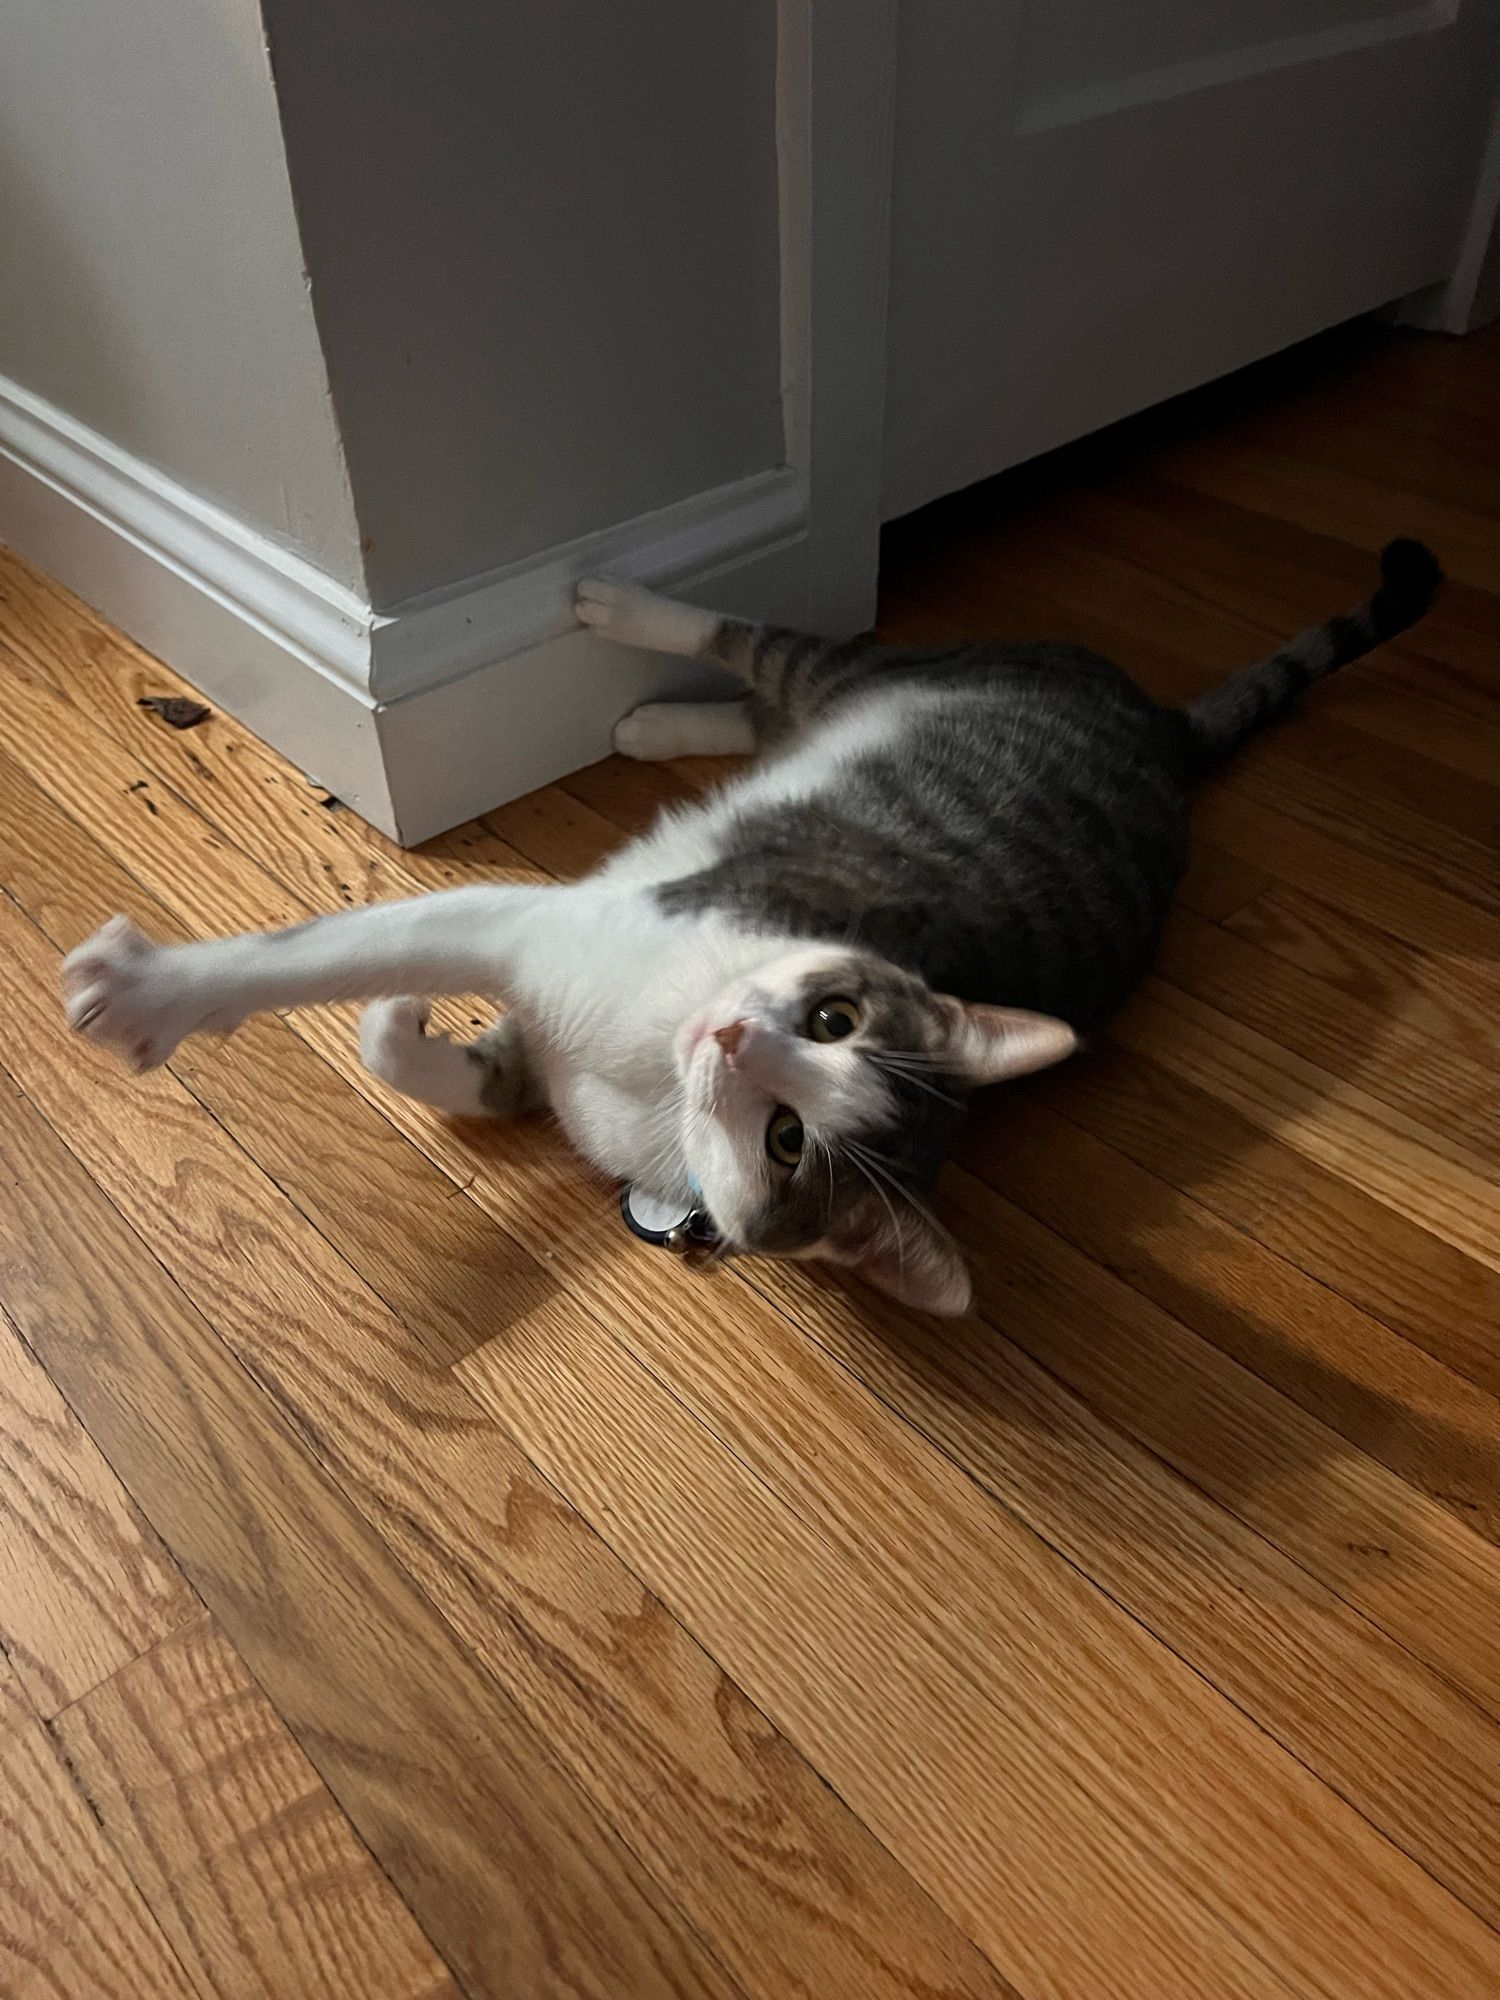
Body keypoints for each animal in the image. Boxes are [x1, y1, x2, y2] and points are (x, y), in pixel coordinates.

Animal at [61, 544, 1448, 1312]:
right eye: (833, 1016)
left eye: (788, 1142)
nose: (732, 1037)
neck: (648, 1074)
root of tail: (1167, 730)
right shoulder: (558, 933)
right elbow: (338, 953)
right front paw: (194, 988)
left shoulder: (560, 999)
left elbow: (409, 1036)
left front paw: (169, 999)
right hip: (877, 680)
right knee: (769, 651)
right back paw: (625, 628)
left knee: (776, 675)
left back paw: (653, 711)